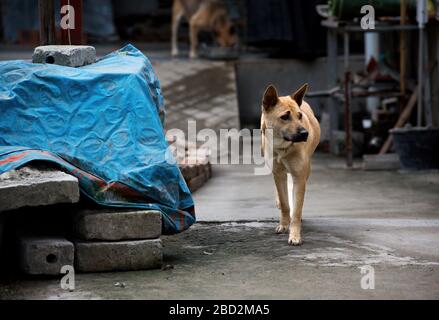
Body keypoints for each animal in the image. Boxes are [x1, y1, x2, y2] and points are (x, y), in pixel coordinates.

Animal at [262, 83, 320, 245]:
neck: (282, 147)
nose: (305, 134)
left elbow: (297, 209)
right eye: (285, 117)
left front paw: (294, 235)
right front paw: (284, 224)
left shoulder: (299, 177)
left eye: (300, 116)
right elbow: (284, 203)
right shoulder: (278, 174)